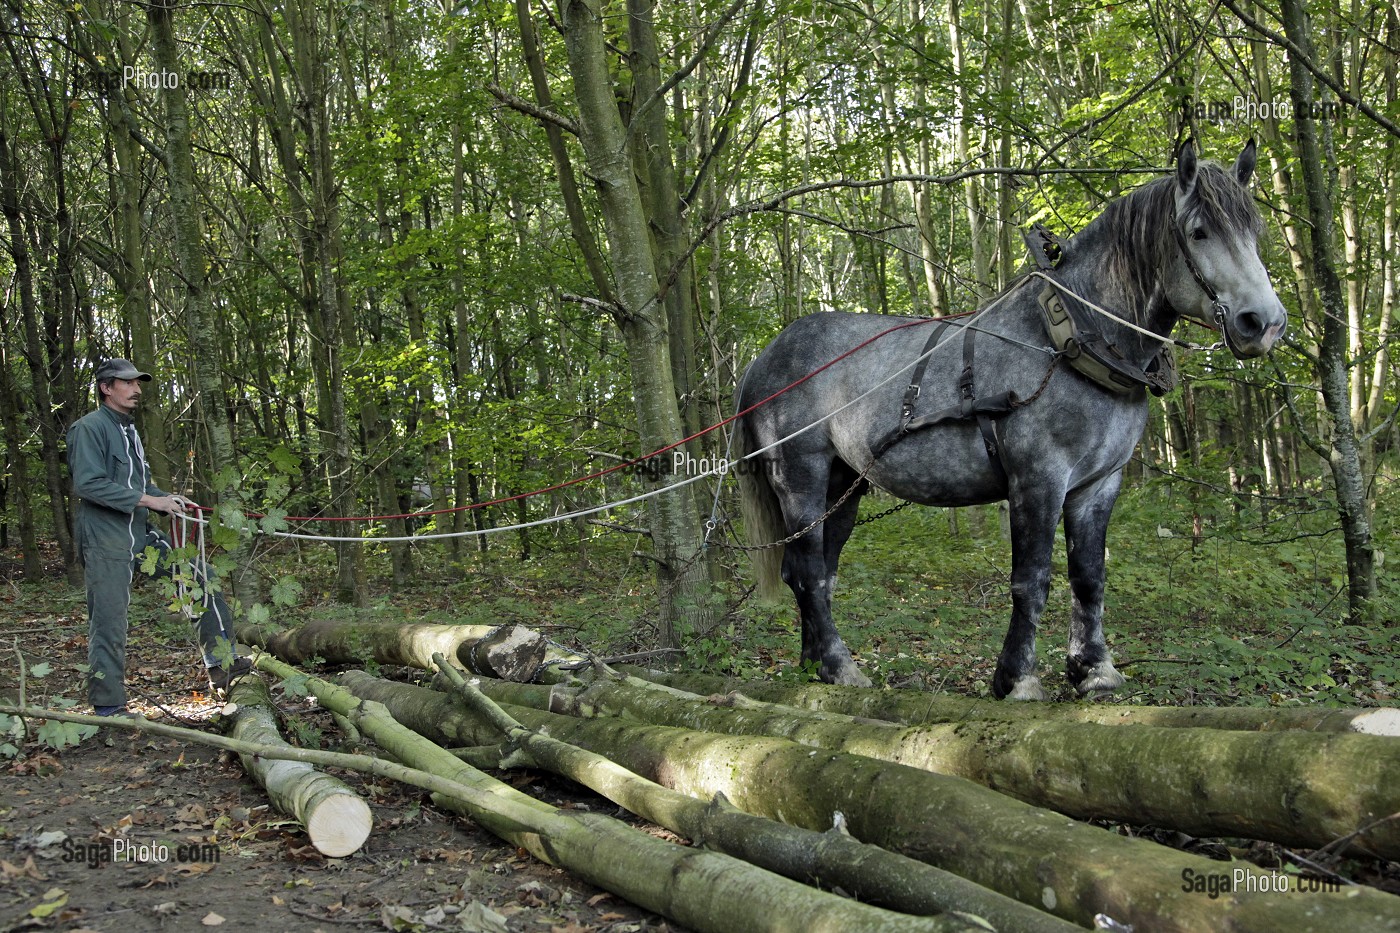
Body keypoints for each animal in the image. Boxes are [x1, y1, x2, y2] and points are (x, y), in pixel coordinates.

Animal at [735, 140, 1287, 700]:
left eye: (1254, 232)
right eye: (1198, 232)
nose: (1264, 323)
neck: (1072, 339)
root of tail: (764, 358)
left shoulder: (1098, 485)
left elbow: (1089, 576)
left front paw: (1095, 671)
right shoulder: (1039, 478)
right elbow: (1032, 580)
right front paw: (1018, 678)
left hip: (843, 483)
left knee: (817, 573)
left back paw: (816, 667)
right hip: (800, 475)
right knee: (807, 572)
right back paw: (840, 665)